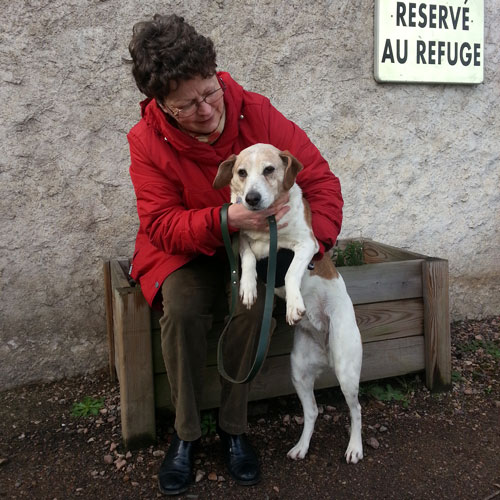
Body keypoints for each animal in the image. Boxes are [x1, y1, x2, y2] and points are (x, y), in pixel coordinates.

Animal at [214, 143, 364, 462]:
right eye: (241, 173)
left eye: (269, 169)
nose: (251, 198)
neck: (266, 225)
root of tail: (326, 349)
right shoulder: (242, 241)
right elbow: (248, 260)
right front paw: (247, 288)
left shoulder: (307, 245)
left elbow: (292, 269)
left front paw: (295, 303)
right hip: (298, 373)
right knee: (312, 412)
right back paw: (301, 446)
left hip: (346, 368)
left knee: (356, 410)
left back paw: (355, 447)